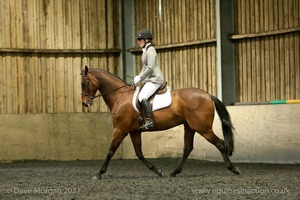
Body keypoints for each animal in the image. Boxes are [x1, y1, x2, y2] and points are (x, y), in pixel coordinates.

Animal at [81, 66, 240, 180]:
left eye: (85, 83)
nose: (84, 103)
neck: (120, 97)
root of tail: (207, 94)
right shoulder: (134, 131)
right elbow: (139, 153)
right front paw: (158, 171)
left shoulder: (120, 130)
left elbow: (110, 151)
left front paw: (98, 174)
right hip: (189, 127)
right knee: (187, 148)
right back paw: (174, 172)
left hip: (203, 128)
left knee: (220, 144)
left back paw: (234, 169)